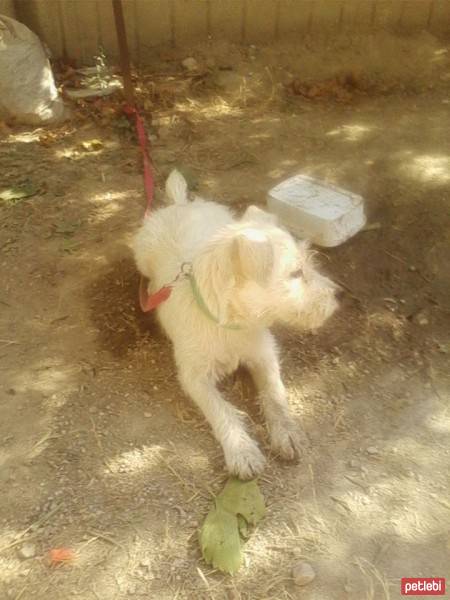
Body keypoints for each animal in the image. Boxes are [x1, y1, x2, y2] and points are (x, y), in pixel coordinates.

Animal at [132, 170, 340, 478]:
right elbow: (222, 410)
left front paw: (287, 433)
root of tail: (181, 205)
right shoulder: (194, 377)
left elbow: (275, 394)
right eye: (296, 273)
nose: (338, 294)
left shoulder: (265, 355)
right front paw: (242, 451)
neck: (231, 322)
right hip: (141, 254)